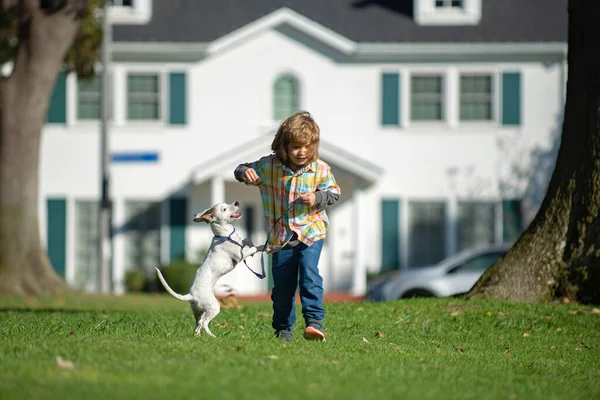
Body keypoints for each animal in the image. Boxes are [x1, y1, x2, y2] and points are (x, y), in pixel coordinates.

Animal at [154, 202, 256, 336]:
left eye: (226, 204)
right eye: (224, 209)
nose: (236, 203)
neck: (225, 235)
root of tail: (191, 295)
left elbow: (247, 241)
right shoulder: (239, 256)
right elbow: (252, 249)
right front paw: (259, 248)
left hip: (199, 312)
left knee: (198, 324)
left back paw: (198, 336)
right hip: (214, 307)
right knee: (204, 323)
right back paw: (213, 336)